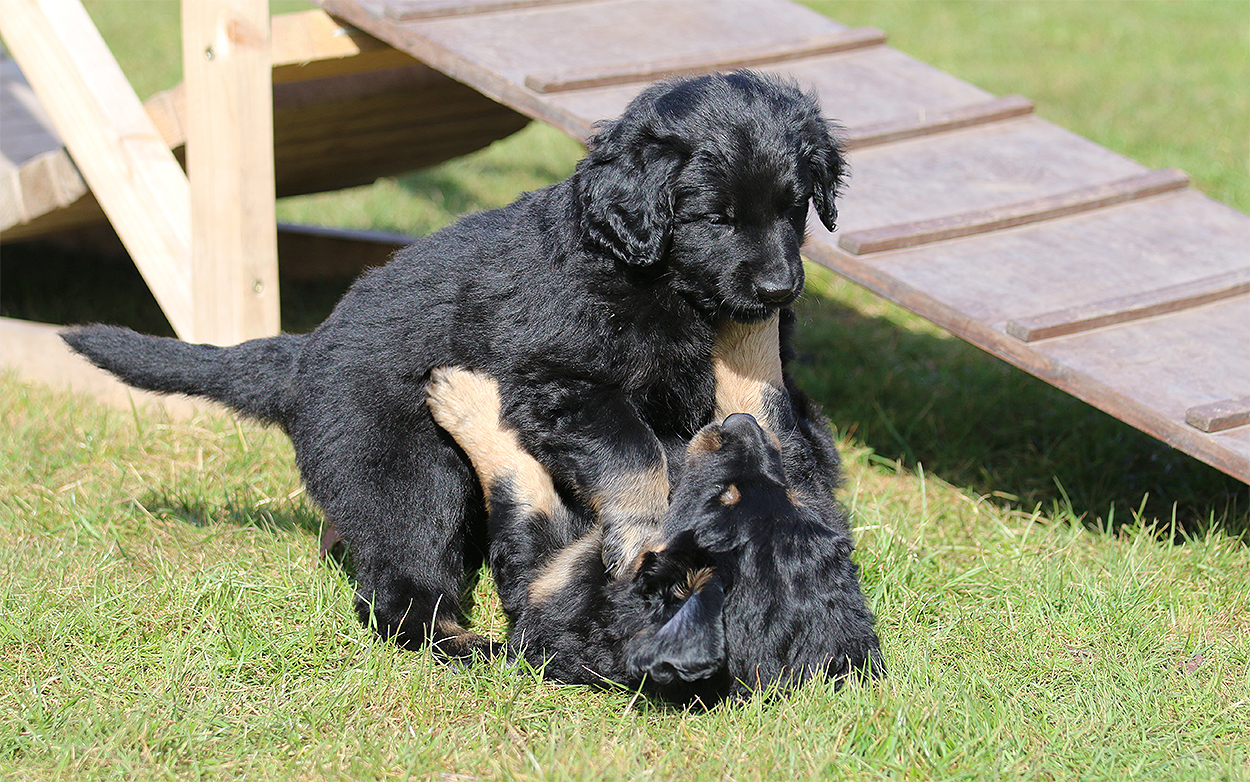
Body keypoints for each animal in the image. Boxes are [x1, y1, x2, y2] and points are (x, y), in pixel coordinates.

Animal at [61, 71, 847, 658]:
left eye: (795, 206)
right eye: (715, 217)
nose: (779, 289)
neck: (642, 272)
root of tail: (305, 353)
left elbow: (778, 429)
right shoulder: (559, 377)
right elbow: (634, 452)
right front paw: (641, 530)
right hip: (414, 476)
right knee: (398, 594)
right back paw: (469, 644)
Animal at [425, 317, 883, 703]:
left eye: (724, 496)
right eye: (785, 493)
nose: (739, 425)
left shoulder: (543, 585)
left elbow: (522, 484)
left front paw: (461, 394)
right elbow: (762, 387)